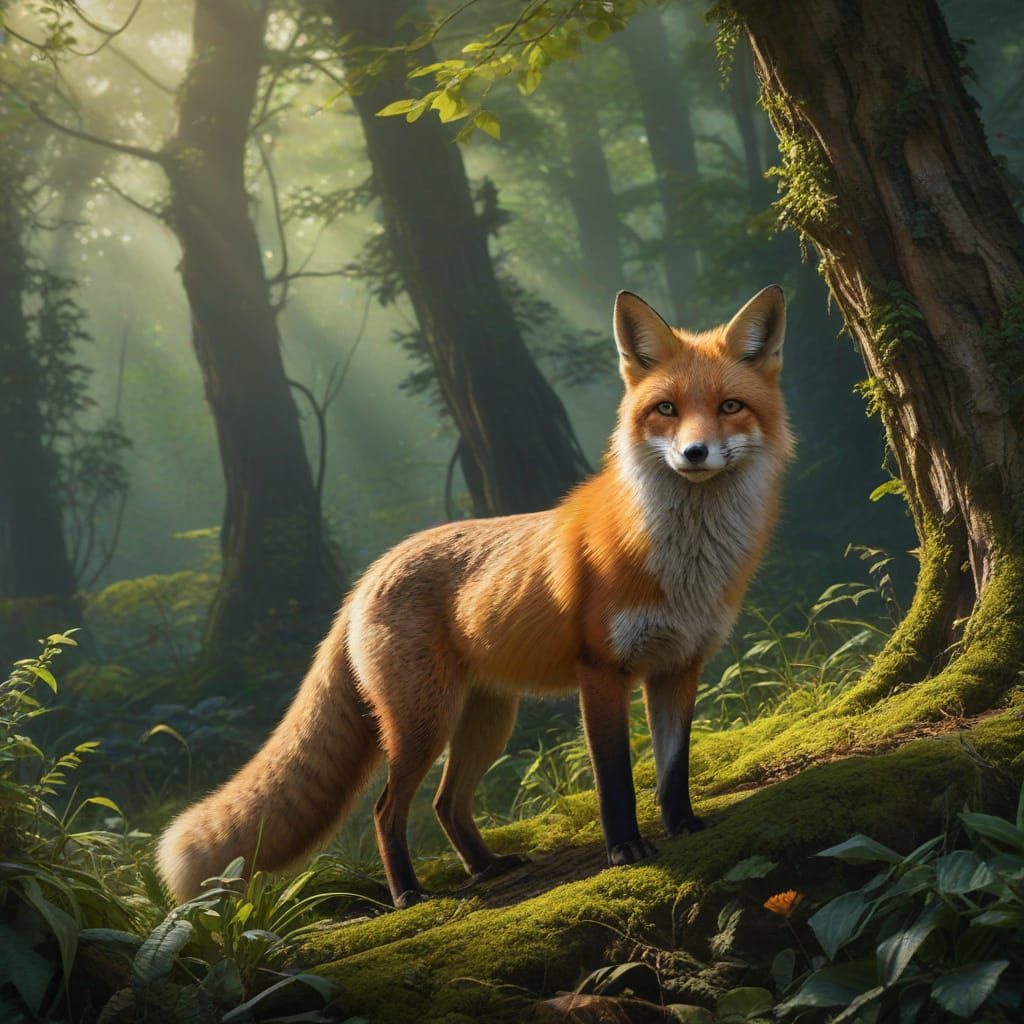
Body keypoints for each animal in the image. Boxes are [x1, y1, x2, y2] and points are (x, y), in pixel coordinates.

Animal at [157, 286, 793, 909]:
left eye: (729, 407)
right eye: (666, 410)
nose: (694, 453)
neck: (685, 564)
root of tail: (368, 577)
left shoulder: (679, 666)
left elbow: (672, 768)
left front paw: (683, 825)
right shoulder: (601, 672)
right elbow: (613, 778)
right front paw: (625, 850)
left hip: (486, 721)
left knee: (446, 803)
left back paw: (486, 866)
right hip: (424, 722)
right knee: (388, 809)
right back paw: (408, 893)